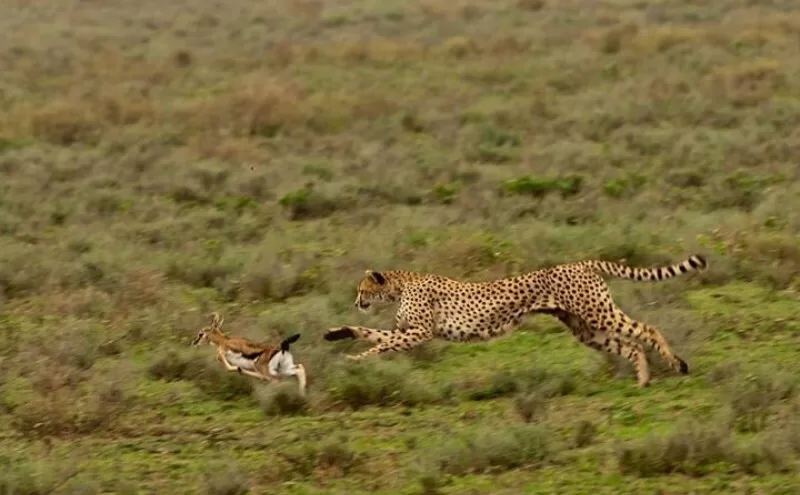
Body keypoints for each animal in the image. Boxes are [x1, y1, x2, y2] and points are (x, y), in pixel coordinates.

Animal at [323, 255, 708, 388]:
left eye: (362, 290)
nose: (356, 302)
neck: (401, 285)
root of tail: (580, 262)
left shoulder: (419, 333)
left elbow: (382, 344)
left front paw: (354, 360)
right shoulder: (406, 330)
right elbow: (371, 333)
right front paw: (337, 335)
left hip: (597, 312)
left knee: (647, 329)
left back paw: (677, 364)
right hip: (584, 329)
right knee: (629, 346)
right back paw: (643, 379)